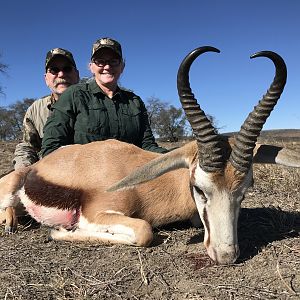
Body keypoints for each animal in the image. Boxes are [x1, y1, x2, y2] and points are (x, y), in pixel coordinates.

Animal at [0, 47, 298, 264]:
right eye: (199, 188)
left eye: (245, 190)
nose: (225, 256)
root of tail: (33, 169)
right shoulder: (98, 213)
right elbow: (144, 231)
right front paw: (60, 230)